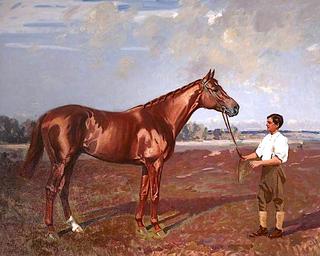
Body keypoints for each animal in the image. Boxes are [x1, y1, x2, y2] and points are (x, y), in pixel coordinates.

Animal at [20, 69, 239, 236]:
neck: (161, 119)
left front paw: (141, 225)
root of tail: (49, 115)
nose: (235, 108)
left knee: (64, 190)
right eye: (215, 89)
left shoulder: (145, 165)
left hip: (71, 160)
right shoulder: (156, 163)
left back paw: (75, 226)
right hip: (60, 161)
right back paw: (51, 231)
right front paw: (157, 228)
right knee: (51, 189)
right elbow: (155, 194)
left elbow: (143, 193)